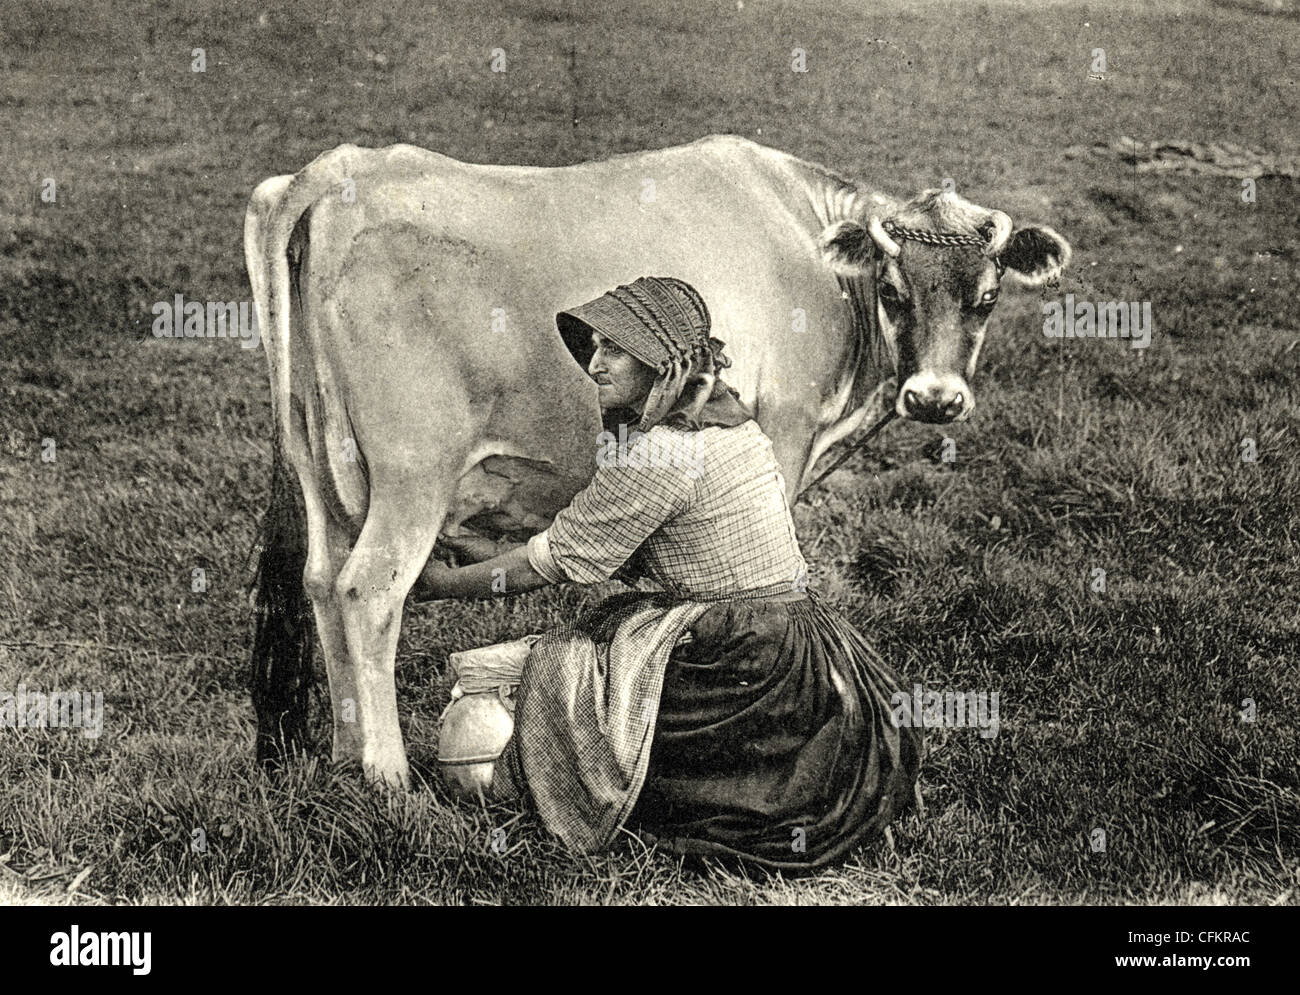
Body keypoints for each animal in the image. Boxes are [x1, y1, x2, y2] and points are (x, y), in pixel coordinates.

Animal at [241, 133, 1066, 785]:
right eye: (894, 290)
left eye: (987, 296)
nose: (936, 398)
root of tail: (338, 169)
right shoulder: (784, 433)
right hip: (413, 474)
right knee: (366, 591)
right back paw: (387, 777)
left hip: (322, 469)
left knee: (320, 582)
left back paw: (345, 754)